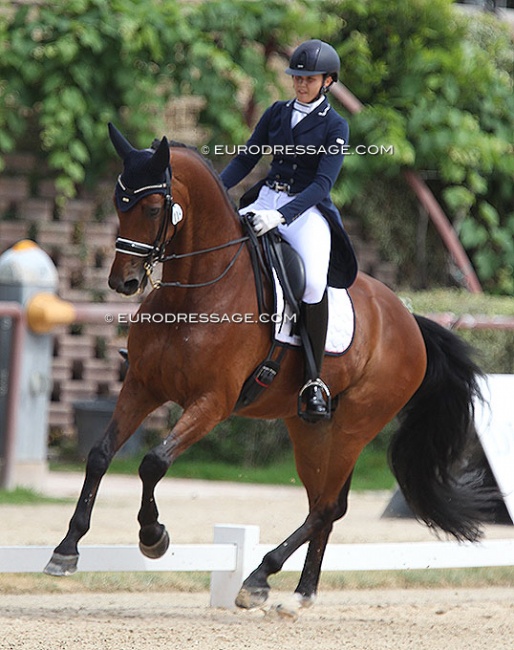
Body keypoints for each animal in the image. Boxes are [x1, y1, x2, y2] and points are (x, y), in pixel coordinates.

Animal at [45, 124, 496, 616]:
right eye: (116, 203)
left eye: (151, 207)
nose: (123, 282)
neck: (195, 292)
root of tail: (409, 320)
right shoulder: (143, 385)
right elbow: (100, 455)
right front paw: (65, 550)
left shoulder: (213, 402)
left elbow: (153, 462)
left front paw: (153, 537)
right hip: (311, 429)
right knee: (325, 505)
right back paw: (298, 594)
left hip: (355, 426)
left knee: (326, 507)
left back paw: (261, 578)